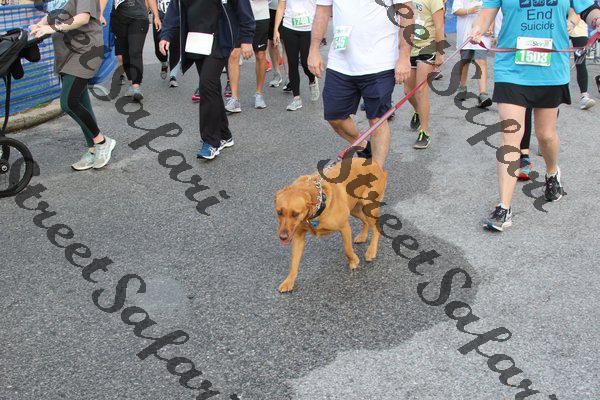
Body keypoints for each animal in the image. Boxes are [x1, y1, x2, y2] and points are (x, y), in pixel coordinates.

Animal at [274, 157, 388, 293]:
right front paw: (289, 281)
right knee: (365, 221)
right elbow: (294, 263)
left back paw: (371, 251)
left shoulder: (344, 226)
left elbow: (347, 250)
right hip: (354, 209)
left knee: (376, 228)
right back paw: (362, 236)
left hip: (368, 206)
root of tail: (374, 162)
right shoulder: (298, 236)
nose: (283, 237)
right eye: (279, 212)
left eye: (295, 214)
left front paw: (354, 261)